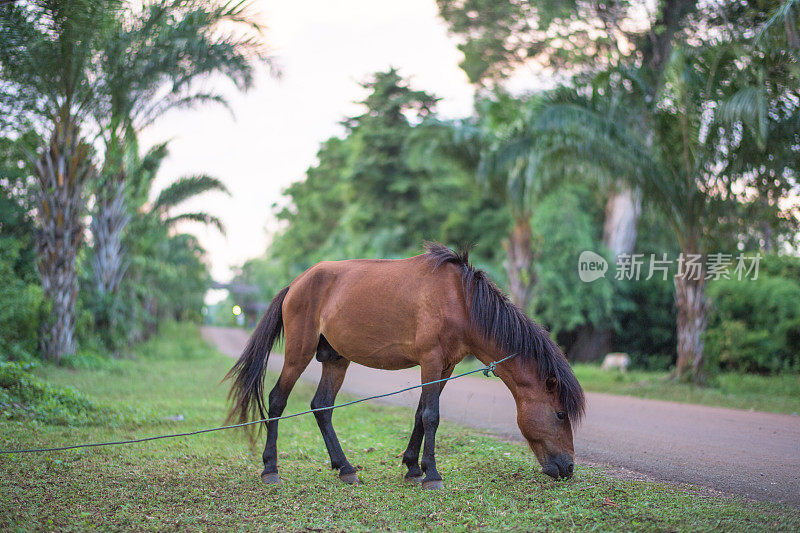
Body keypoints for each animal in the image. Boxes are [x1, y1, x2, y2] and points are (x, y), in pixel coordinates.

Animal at [228, 243, 584, 488]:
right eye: (560, 414)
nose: (568, 468)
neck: (460, 301)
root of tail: (297, 283)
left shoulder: (445, 366)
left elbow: (421, 413)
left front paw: (414, 468)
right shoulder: (431, 360)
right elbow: (431, 415)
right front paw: (433, 475)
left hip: (336, 360)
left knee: (322, 407)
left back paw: (345, 468)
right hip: (298, 354)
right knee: (277, 400)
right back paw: (271, 469)